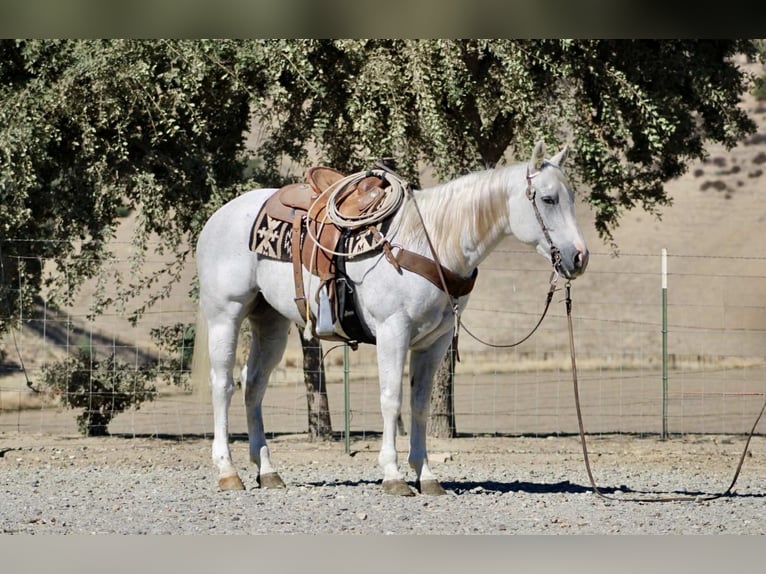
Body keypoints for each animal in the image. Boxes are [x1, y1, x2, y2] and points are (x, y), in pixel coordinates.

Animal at [195, 141, 589, 496]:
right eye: (548, 199)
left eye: (571, 197)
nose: (579, 257)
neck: (430, 243)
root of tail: (218, 217)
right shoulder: (392, 331)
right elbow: (391, 399)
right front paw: (393, 475)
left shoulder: (434, 341)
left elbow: (420, 404)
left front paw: (426, 475)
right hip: (226, 314)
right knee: (222, 384)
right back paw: (228, 472)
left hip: (270, 322)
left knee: (253, 384)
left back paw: (267, 471)